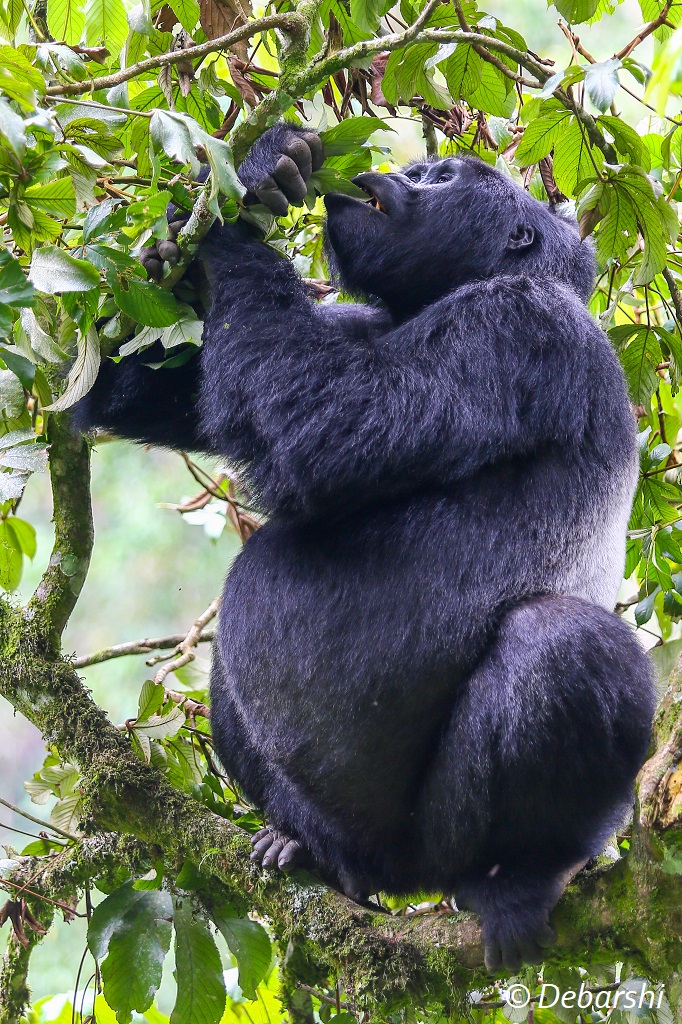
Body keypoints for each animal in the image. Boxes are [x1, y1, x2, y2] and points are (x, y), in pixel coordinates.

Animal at [74, 119, 655, 966]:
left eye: (442, 177)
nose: (400, 175)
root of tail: (399, 880)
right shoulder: (356, 319)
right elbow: (148, 396)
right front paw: (238, 191)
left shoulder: (519, 323)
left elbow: (330, 422)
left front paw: (230, 221)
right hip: (341, 834)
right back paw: (305, 849)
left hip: (437, 849)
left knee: (563, 645)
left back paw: (522, 871)